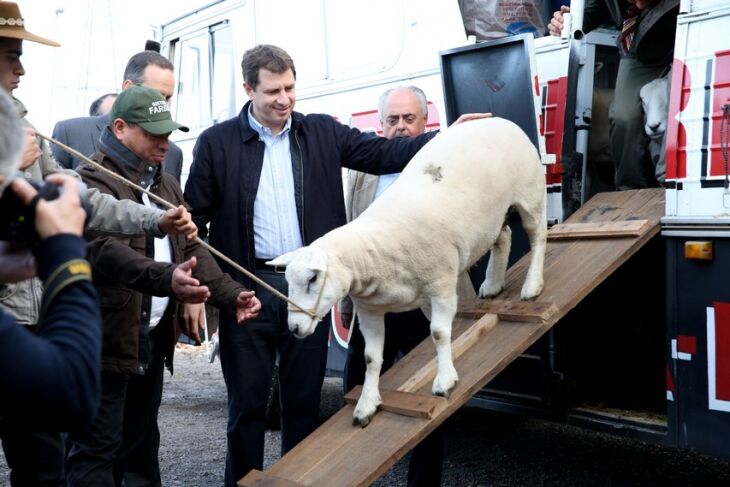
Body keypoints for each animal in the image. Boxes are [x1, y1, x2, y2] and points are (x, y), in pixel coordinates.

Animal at [270, 117, 544, 428]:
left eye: (313, 278)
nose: (294, 328)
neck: (372, 254)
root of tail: (496, 119)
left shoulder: (441, 285)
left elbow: (438, 333)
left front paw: (444, 381)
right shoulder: (370, 310)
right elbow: (371, 357)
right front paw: (366, 404)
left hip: (529, 194)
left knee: (538, 236)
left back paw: (532, 285)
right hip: (493, 216)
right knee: (504, 237)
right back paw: (493, 284)